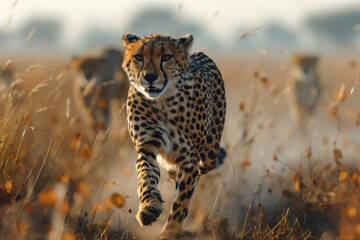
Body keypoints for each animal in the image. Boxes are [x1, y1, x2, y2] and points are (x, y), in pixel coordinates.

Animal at [122, 34, 226, 238]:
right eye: (139, 57)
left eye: (166, 57)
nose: (150, 77)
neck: (162, 101)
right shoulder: (147, 146)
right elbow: (146, 177)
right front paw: (148, 208)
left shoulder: (190, 159)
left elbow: (182, 200)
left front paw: (170, 231)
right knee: (170, 169)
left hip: (209, 154)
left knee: (201, 168)